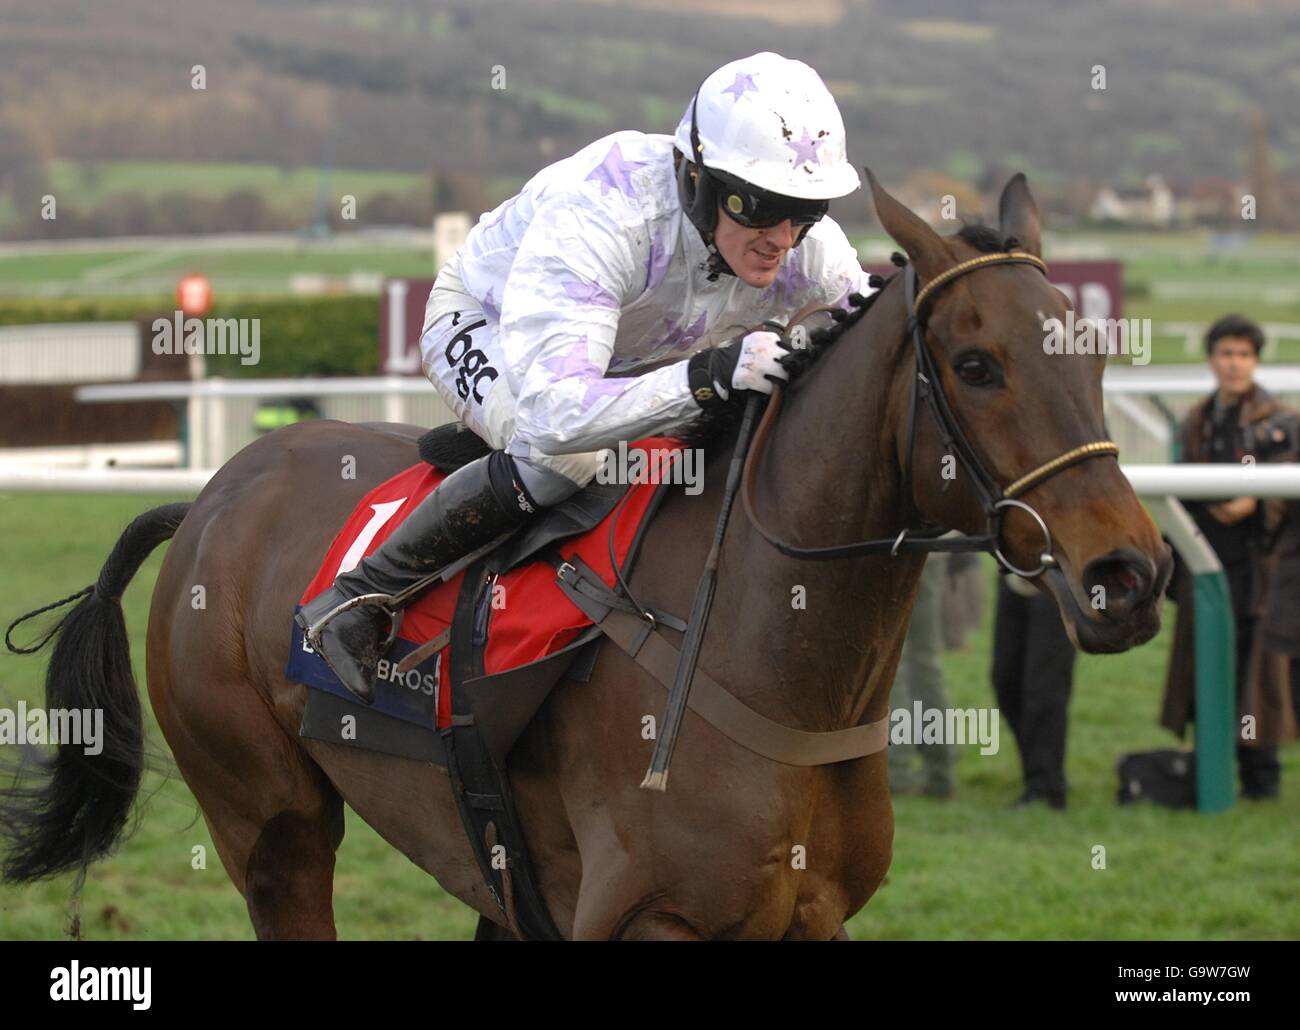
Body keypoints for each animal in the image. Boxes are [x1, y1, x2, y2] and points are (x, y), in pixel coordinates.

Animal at [0, 170, 1175, 941]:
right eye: (975, 365)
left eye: (1093, 349)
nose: (1127, 575)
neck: (767, 654)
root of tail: (211, 495)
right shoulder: (652, 918)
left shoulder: (809, 915)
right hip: (270, 826)